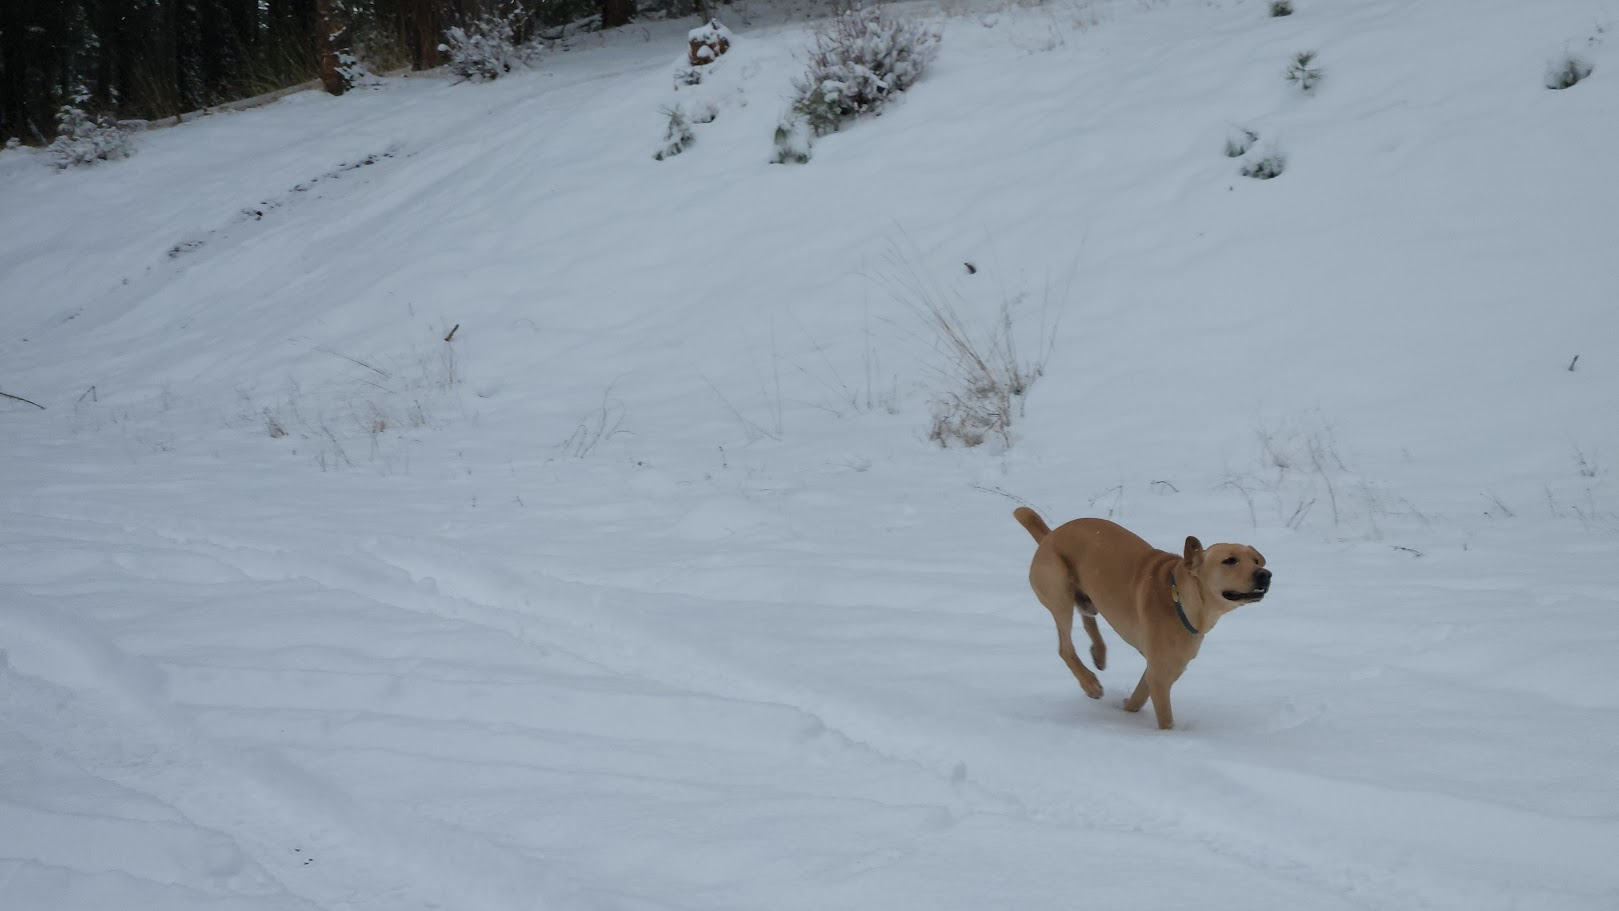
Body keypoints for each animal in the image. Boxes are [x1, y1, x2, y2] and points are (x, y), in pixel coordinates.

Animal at [1012, 508, 1271, 729]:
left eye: (1256, 560)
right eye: (1230, 560)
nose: (1265, 574)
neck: (1180, 598)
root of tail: (1049, 536)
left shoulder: (1161, 668)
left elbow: (1138, 697)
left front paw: (1126, 711)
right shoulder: (1161, 675)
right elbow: (1165, 718)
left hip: (1088, 599)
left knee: (1087, 618)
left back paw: (1099, 653)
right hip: (1059, 590)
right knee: (1065, 647)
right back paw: (1089, 683)